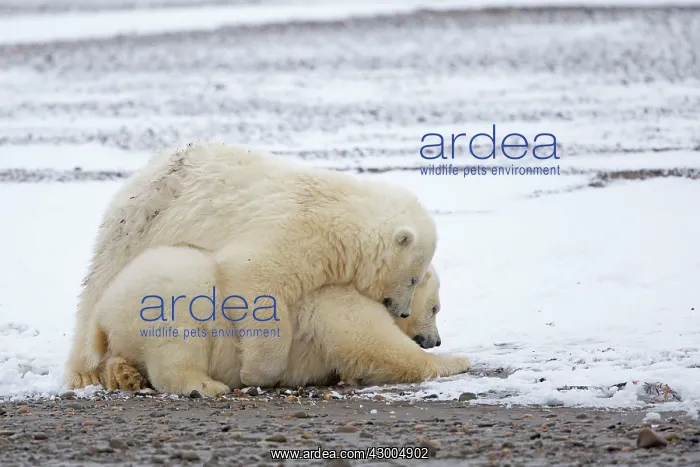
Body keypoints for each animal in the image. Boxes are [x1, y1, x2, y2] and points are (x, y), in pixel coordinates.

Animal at [67, 142, 438, 390]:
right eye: (413, 278)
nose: (404, 313)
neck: (342, 215)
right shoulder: (296, 233)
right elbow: (252, 278)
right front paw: (256, 372)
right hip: (137, 229)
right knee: (98, 290)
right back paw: (87, 372)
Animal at [88, 244, 470, 395]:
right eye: (436, 307)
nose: (436, 339)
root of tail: (104, 307)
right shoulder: (333, 301)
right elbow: (374, 345)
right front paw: (458, 360)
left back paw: (124, 375)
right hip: (169, 302)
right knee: (178, 348)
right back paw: (206, 385)